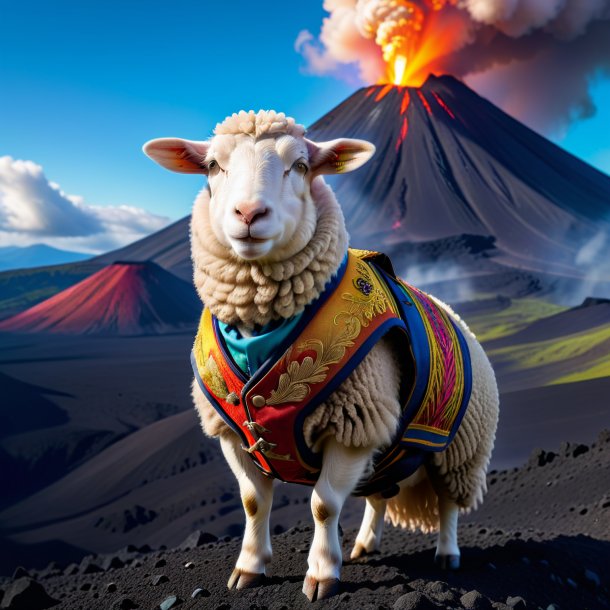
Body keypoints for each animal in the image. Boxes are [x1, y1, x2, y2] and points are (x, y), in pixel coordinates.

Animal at [144, 108, 498, 600]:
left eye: (300, 166)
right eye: (213, 166)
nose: (249, 213)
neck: (260, 328)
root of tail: (461, 320)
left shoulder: (353, 422)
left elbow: (324, 505)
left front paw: (321, 574)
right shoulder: (232, 431)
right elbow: (253, 502)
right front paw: (249, 568)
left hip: (460, 447)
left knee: (447, 502)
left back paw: (447, 554)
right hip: (387, 451)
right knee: (379, 496)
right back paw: (366, 545)